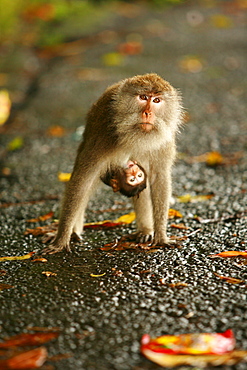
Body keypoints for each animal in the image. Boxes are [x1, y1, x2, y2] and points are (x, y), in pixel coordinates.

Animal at [42, 73, 181, 253]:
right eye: (143, 97)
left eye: (157, 100)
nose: (147, 113)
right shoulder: (103, 137)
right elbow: (81, 183)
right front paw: (60, 240)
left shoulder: (164, 142)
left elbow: (159, 179)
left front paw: (161, 236)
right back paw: (73, 233)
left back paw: (145, 231)